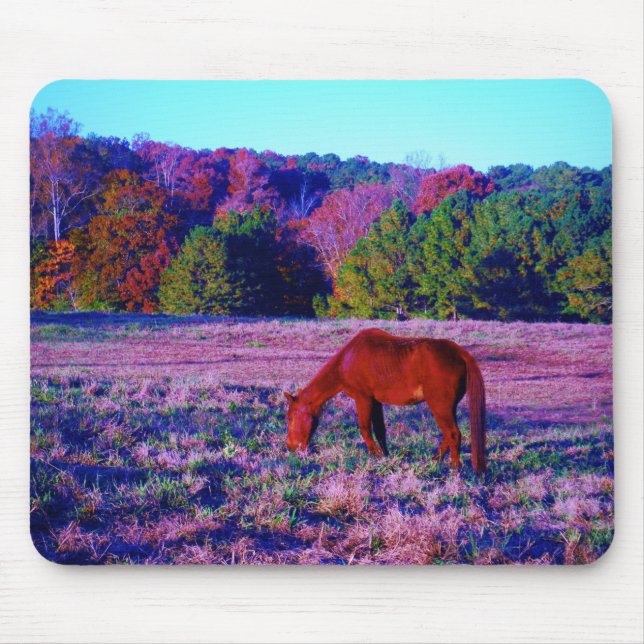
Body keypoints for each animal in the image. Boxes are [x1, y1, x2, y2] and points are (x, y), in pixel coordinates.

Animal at [284, 328, 486, 474]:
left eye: (290, 418)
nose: (291, 446)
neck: (347, 359)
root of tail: (460, 353)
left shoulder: (363, 398)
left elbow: (365, 428)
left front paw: (374, 455)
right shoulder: (376, 402)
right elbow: (380, 430)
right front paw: (385, 455)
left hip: (440, 406)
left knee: (453, 434)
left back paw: (454, 468)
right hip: (447, 407)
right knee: (448, 435)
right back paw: (435, 460)